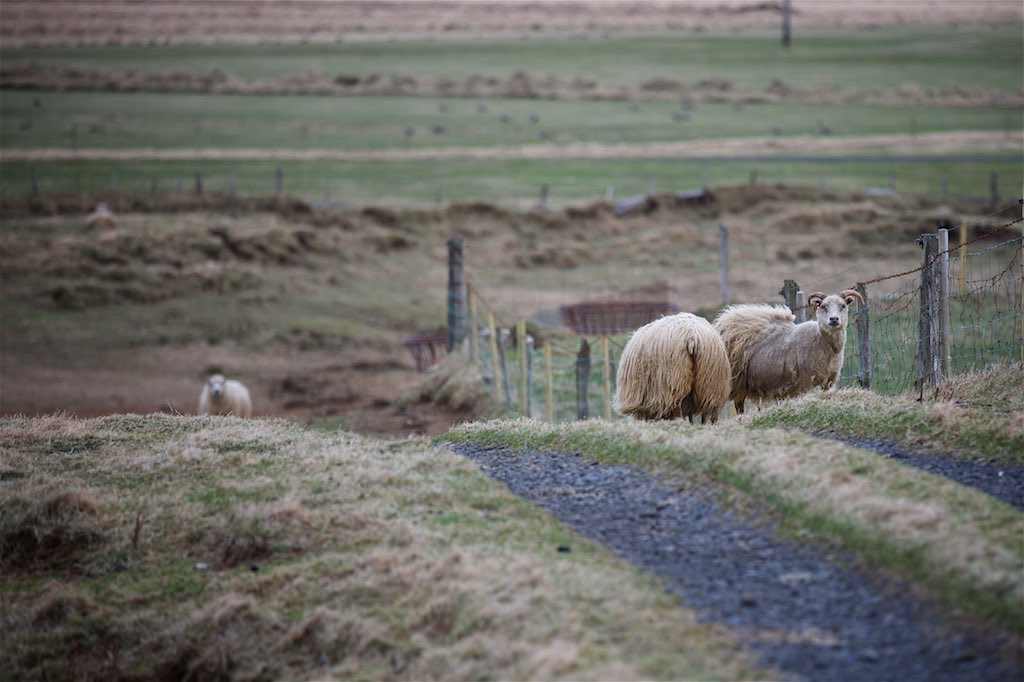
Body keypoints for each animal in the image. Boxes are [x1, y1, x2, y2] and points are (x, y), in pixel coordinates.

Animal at [712, 284, 864, 409]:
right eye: (823, 307)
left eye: (843, 306)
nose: (834, 319)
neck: (822, 342)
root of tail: (726, 322)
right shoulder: (805, 381)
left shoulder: (830, 381)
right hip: (736, 381)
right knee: (737, 404)